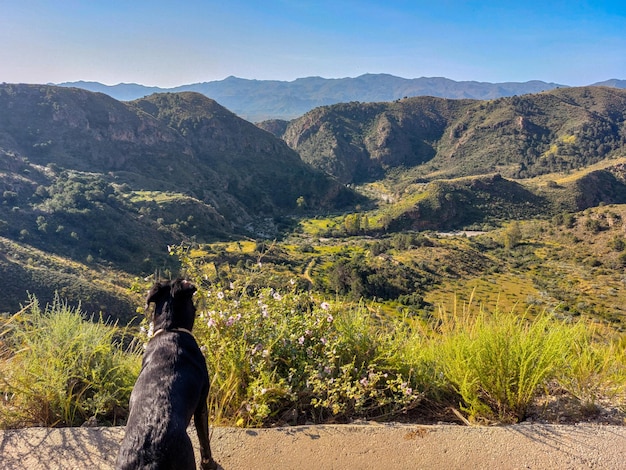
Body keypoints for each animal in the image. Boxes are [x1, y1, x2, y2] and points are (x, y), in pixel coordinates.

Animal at [117, 280, 217, 470]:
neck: (170, 329)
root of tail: (148, 459)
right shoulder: (202, 404)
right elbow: (204, 441)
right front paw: (209, 464)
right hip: (185, 458)